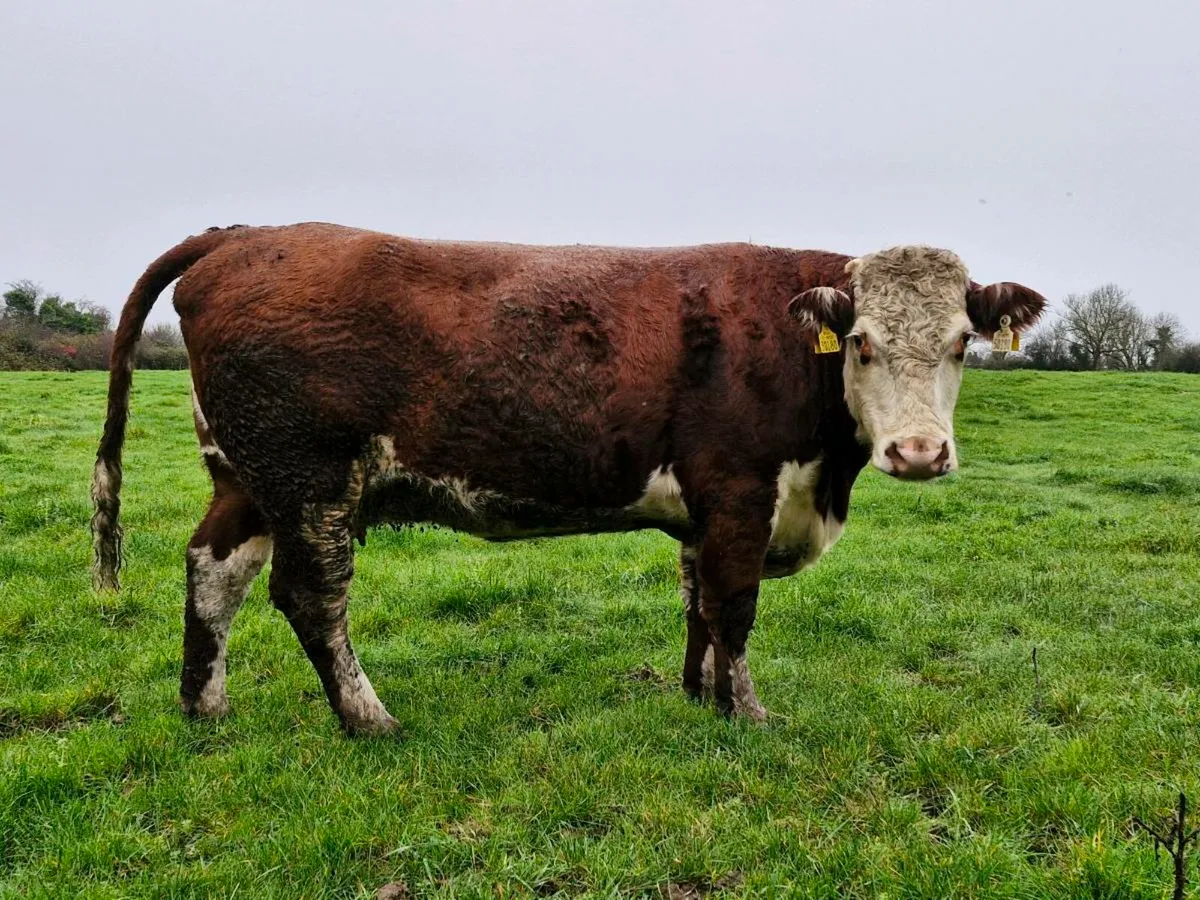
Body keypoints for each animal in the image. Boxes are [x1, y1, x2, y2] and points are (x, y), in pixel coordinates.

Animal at [91, 223, 1045, 735]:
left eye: (962, 342)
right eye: (862, 343)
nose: (918, 453)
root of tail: (247, 235)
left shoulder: (704, 512)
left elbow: (698, 605)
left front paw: (696, 696)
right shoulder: (741, 492)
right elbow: (734, 610)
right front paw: (746, 715)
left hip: (247, 480)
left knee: (213, 571)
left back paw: (205, 706)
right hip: (310, 479)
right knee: (311, 596)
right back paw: (370, 719)